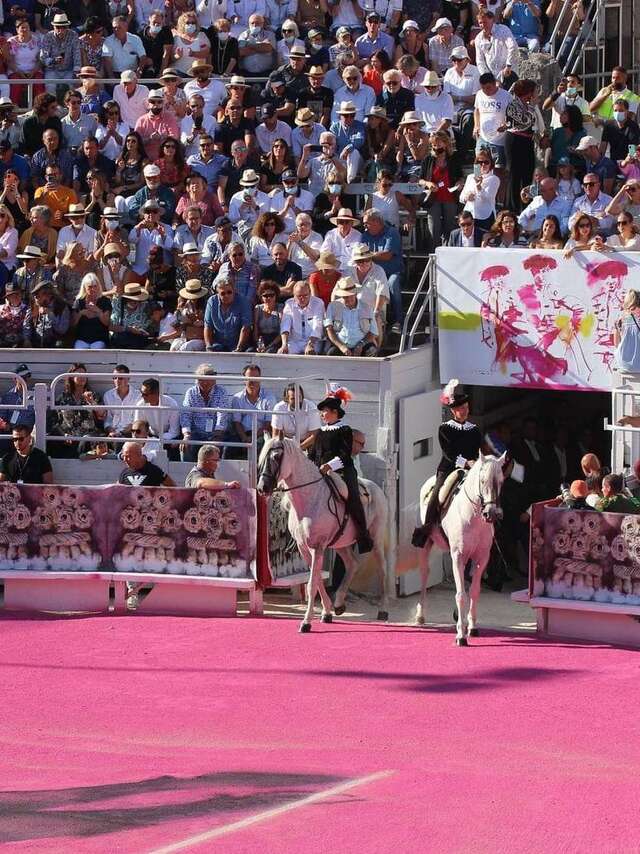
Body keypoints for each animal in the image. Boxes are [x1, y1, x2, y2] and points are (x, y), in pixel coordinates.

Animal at [256, 438, 390, 632]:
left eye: (276, 456)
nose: (262, 488)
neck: (310, 497)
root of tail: (375, 487)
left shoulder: (317, 547)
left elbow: (312, 583)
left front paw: (306, 622)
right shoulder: (304, 548)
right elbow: (317, 579)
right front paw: (326, 613)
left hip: (376, 540)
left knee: (383, 569)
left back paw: (383, 610)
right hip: (340, 543)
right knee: (352, 564)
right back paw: (339, 603)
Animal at [416, 454, 504, 648]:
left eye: (501, 481)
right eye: (482, 480)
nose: (492, 513)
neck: (473, 515)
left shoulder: (482, 558)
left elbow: (474, 591)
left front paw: (471, 627)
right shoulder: (457, 556)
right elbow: (461, 594)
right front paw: (460, 636)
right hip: (428, 544)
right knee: (425, 573)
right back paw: (420, 615)